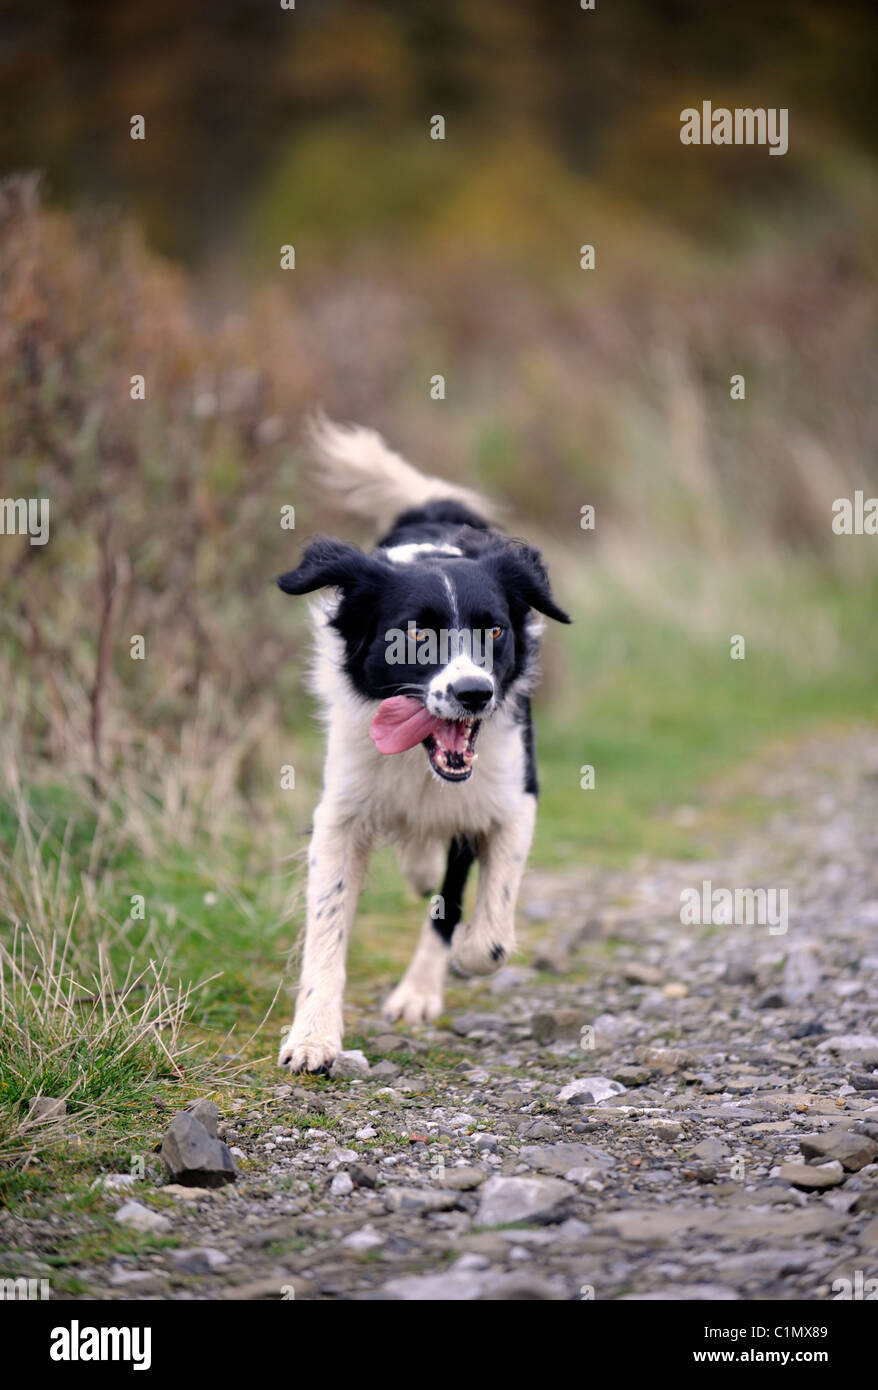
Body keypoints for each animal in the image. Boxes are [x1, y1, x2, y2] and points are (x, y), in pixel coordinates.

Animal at [277, 417, 572, 1067]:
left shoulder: (514, 796)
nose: (474, 693)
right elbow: (327, 925)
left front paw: (457, 963)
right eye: (414, 632)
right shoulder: (340, 812)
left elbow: (484, 930)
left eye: (495, 631)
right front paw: (312, 1036)